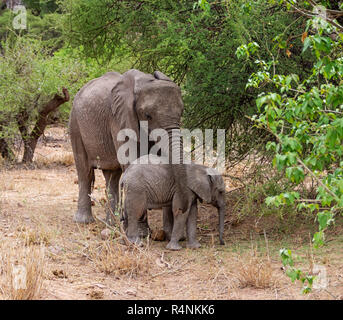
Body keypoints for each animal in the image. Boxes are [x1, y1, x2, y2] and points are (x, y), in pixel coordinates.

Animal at [68, 70, 192, 225]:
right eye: (148, 115)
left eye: (181, 113)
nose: (182, 209)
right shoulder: (118, 119)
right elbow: (131, 161)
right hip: (75, 123)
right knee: (85, 171)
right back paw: (84, 221)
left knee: (112, 176)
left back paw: (112, 223)